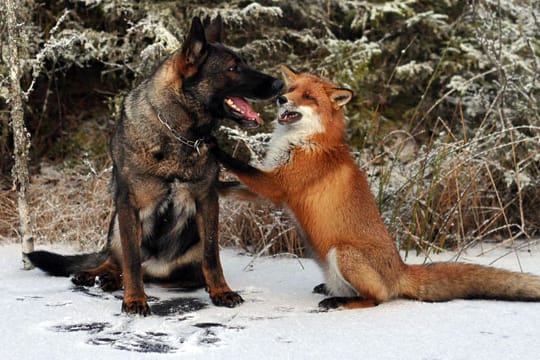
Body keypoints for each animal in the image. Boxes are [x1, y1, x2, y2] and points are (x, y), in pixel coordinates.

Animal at [27, 16, 284, 316]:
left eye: (243, 62)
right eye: (233, 68)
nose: (279, 84)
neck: (178, 134)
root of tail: (156, 268)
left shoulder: (208, 201)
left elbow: (212, 257)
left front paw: (221, 291)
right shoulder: (129, 205)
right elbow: (131, 260)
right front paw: (135, 299)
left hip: (185, 261)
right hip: (116, 227)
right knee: (116, 260)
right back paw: (97, 275)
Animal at [212, 65, 540, 310]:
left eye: (307, 96)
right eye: (290, 90)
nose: (281, 98)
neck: (304, 142)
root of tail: (401, 269)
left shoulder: (277, 185)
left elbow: (240, 166)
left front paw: (214, 146)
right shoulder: (267, 189)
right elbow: (233, 185)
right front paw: (215, 186)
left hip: (343, 253)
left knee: (378, 298)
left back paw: (340, 302)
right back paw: (331, 290)